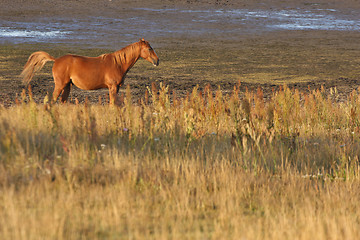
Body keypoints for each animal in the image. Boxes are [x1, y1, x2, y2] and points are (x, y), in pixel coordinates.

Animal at [20, 38, 159, 104]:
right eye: (149, 48)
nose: (157, 61)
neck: (118, 63)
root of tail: (56, 59)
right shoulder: (112, 87)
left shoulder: (117, 88)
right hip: (60, 85)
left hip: (67, 86)